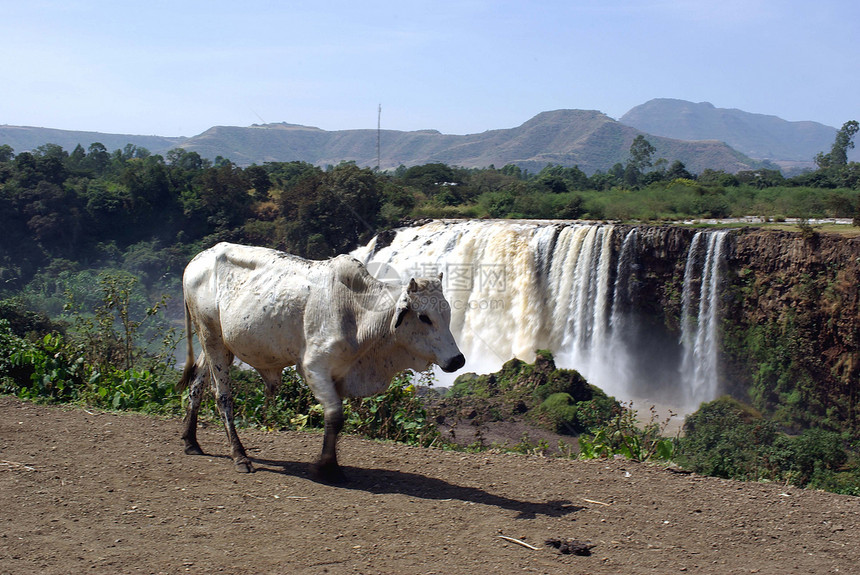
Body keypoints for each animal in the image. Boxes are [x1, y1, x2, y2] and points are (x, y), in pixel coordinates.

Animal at [177, 242, 466, 476]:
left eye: (448, 312)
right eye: (424, 317)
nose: (458, 360)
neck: (358, 313)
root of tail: (196, 260)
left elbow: (336, 420)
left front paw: (331, 465)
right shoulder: (313, 368)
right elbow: (334, 416)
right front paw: (326, 467)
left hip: (217, 343)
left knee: (197, 385)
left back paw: (191, 441)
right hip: (211, 336)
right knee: (222, 396)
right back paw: (239, 456)